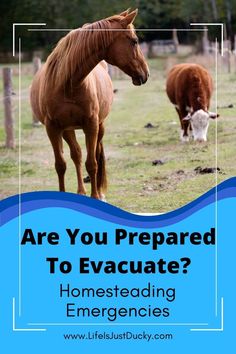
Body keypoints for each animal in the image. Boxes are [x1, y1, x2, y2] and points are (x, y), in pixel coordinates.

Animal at [30, 9, 149, 199]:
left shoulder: (91, 125)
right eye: (134, 41)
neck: (67, 84)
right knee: (76, 155)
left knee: (96, 153)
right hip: (68, 130)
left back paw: (99, 192)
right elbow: (60, 165)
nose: (146, 73)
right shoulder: (53, 128)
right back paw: (81, 191)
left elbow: (92, 163)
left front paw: (96, 195)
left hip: (99, 126)